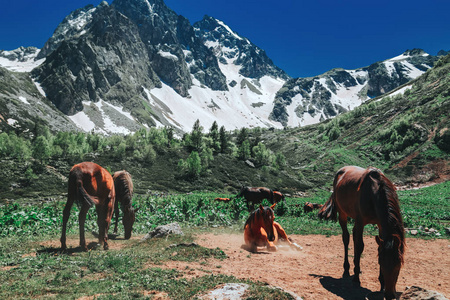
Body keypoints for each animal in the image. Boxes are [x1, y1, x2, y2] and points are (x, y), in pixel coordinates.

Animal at [318, 166, 406, 300]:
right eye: (381, 263)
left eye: (398, 264)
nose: (389, 295)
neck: (374, 194)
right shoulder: (360, 222)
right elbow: (360, 246)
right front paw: (356, 279)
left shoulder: (380, 225)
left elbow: (378, 247)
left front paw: (381, 283)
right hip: (342, 214)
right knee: (347, 238)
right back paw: (347, 269)